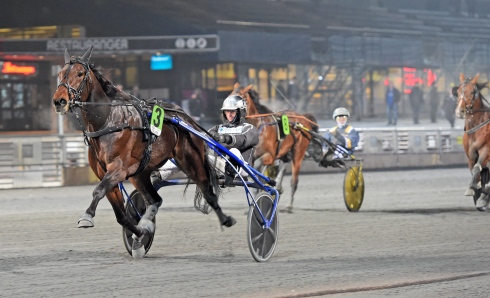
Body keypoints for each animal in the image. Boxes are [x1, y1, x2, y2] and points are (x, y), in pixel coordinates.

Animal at [51, 46, 235, 256]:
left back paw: (226, 219)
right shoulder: (105, 174)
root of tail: (186, 118)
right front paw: (141, 233)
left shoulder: (118, 169)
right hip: (140, 174)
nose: (59, 101)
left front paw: (87, 217)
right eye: (60, 74)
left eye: (80, 73)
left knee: (207, 192)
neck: (108, 122)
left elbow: (98, 191)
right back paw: (146, 224)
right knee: (154, 200)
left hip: (191, 160)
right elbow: (121, 215)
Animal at [232, 82, 320, 212]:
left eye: (241, 98)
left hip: (298, 153)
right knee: (284, 166)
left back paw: (289, 205)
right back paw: (278, 188)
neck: (259, 127)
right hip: (285, 152)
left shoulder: (269, 156)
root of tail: (303, 118)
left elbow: (259, 170)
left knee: (294, 181)